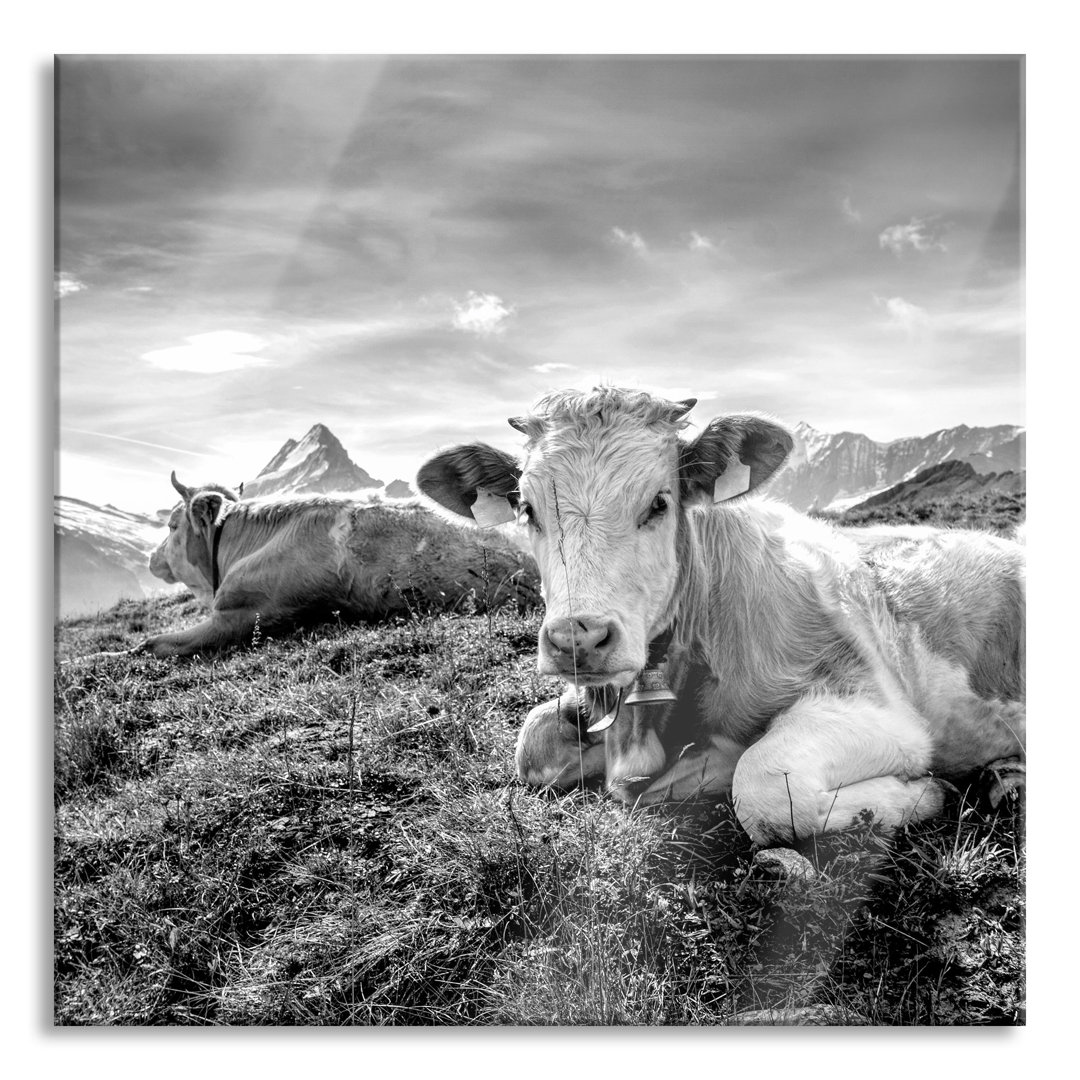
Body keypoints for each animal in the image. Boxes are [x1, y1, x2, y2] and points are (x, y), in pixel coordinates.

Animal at [416, 384, 1023, 846]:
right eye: (526, 508)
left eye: (660, 503)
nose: (578, 640)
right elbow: (532, 742)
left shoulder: (879, 705)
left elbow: (763, 785)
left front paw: (923, 792)